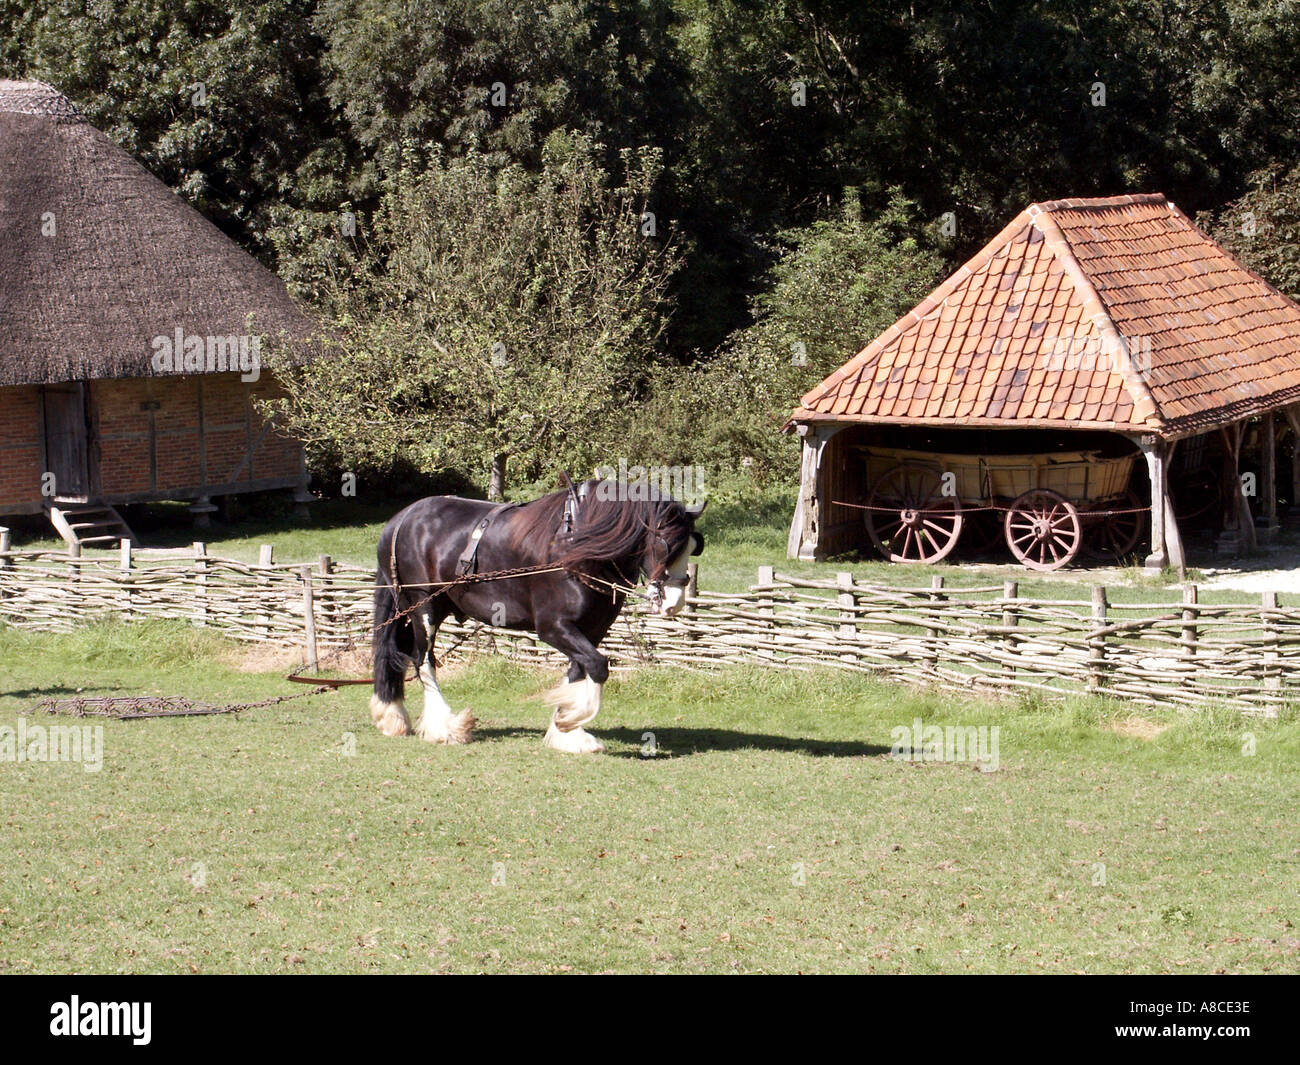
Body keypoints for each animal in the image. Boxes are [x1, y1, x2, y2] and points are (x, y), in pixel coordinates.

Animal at [371, 478, 707, 754]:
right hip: (422, 607)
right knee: (423, 660)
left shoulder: (591, 630)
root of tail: (400, 519)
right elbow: (598, 666)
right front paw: (570, 721)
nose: (675, 602)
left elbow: (578, 670)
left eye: (694, 545)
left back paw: (392, 714)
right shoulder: (553, 627)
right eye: (664, 545)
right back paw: (444, 726)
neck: (577, 547)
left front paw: (567, 732)